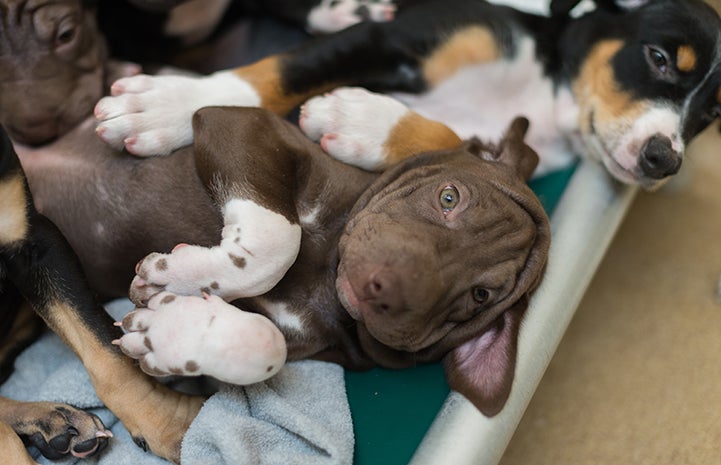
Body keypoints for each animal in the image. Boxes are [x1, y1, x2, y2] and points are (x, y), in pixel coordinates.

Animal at [98, 0, 720, 190]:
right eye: (659, 59)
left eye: (712, 115)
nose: (663, 159)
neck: (547, 95)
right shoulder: (390, 38)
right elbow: (273, 77)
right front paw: (170, 106)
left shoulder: (508, 152)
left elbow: (442, 136)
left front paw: (362, 121)